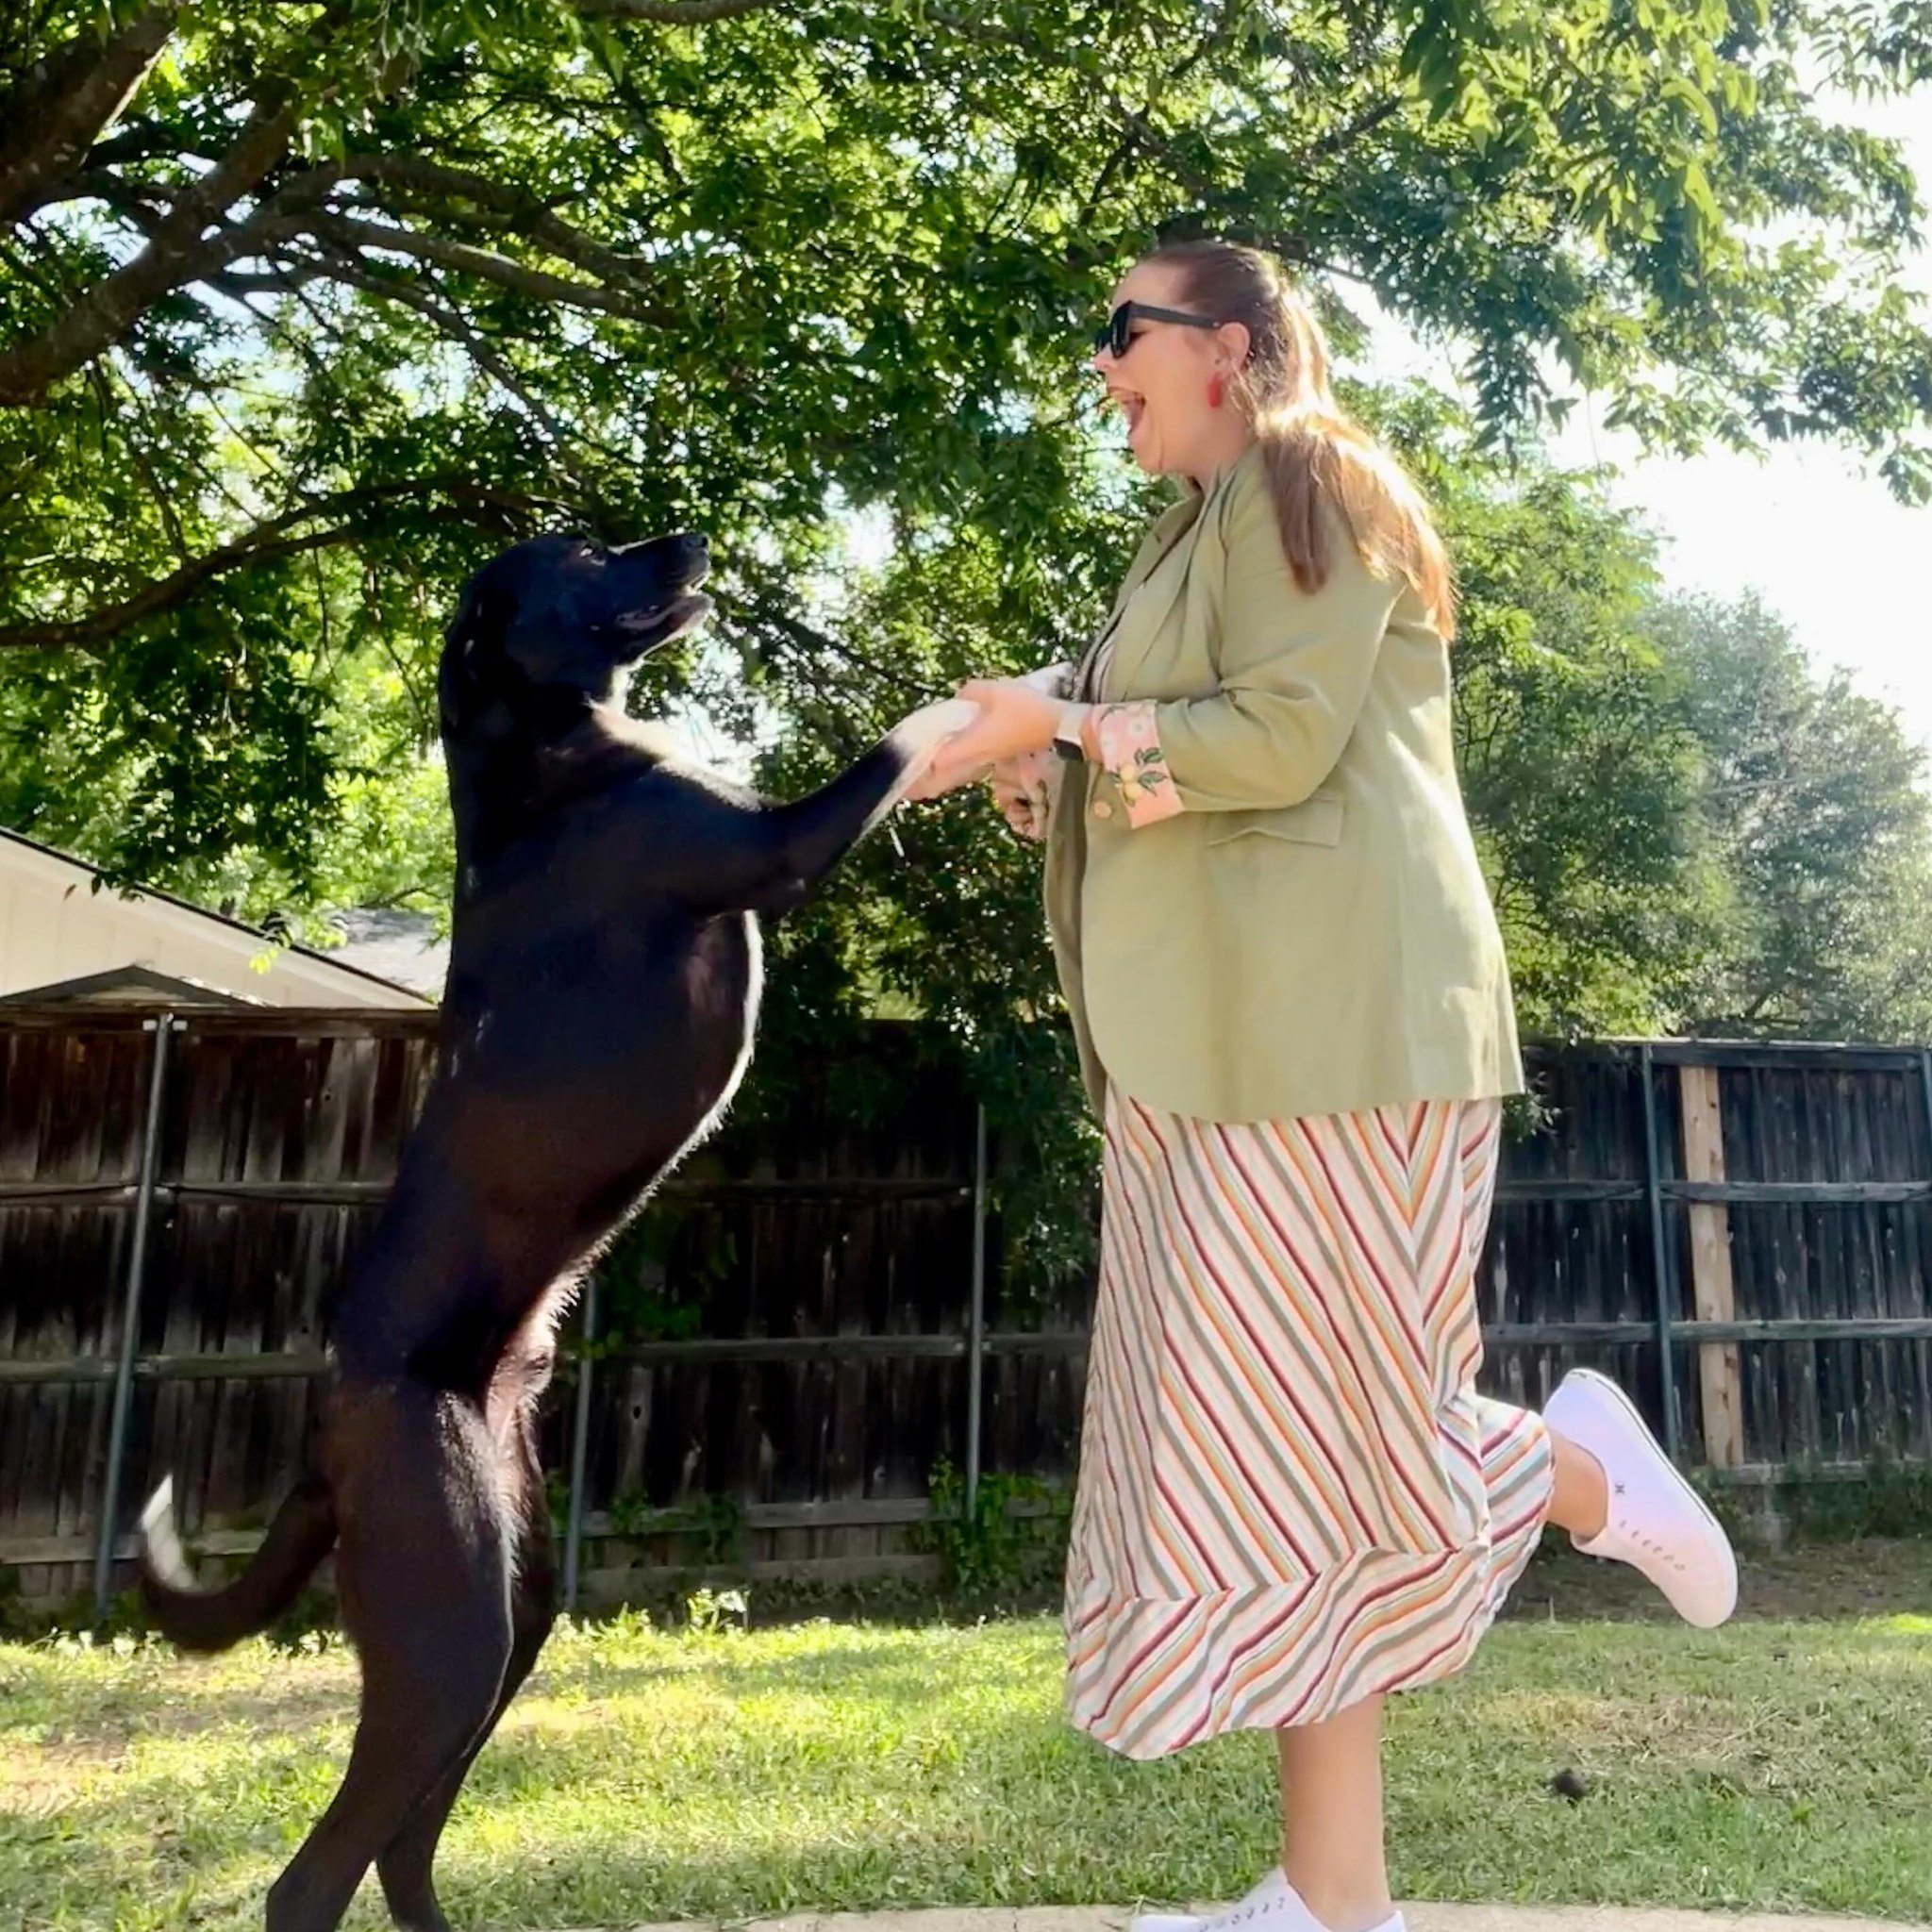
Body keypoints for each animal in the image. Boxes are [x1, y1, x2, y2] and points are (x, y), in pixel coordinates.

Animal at [140, 533, 966, 1932]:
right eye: (579, 552)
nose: (688, 536)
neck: (541, 753)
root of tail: (324, 1433)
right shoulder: (772, 846)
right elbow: (908, 735)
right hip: (449, 1629)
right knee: (316, 1877)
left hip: (515, 1610)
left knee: (403, 1848)